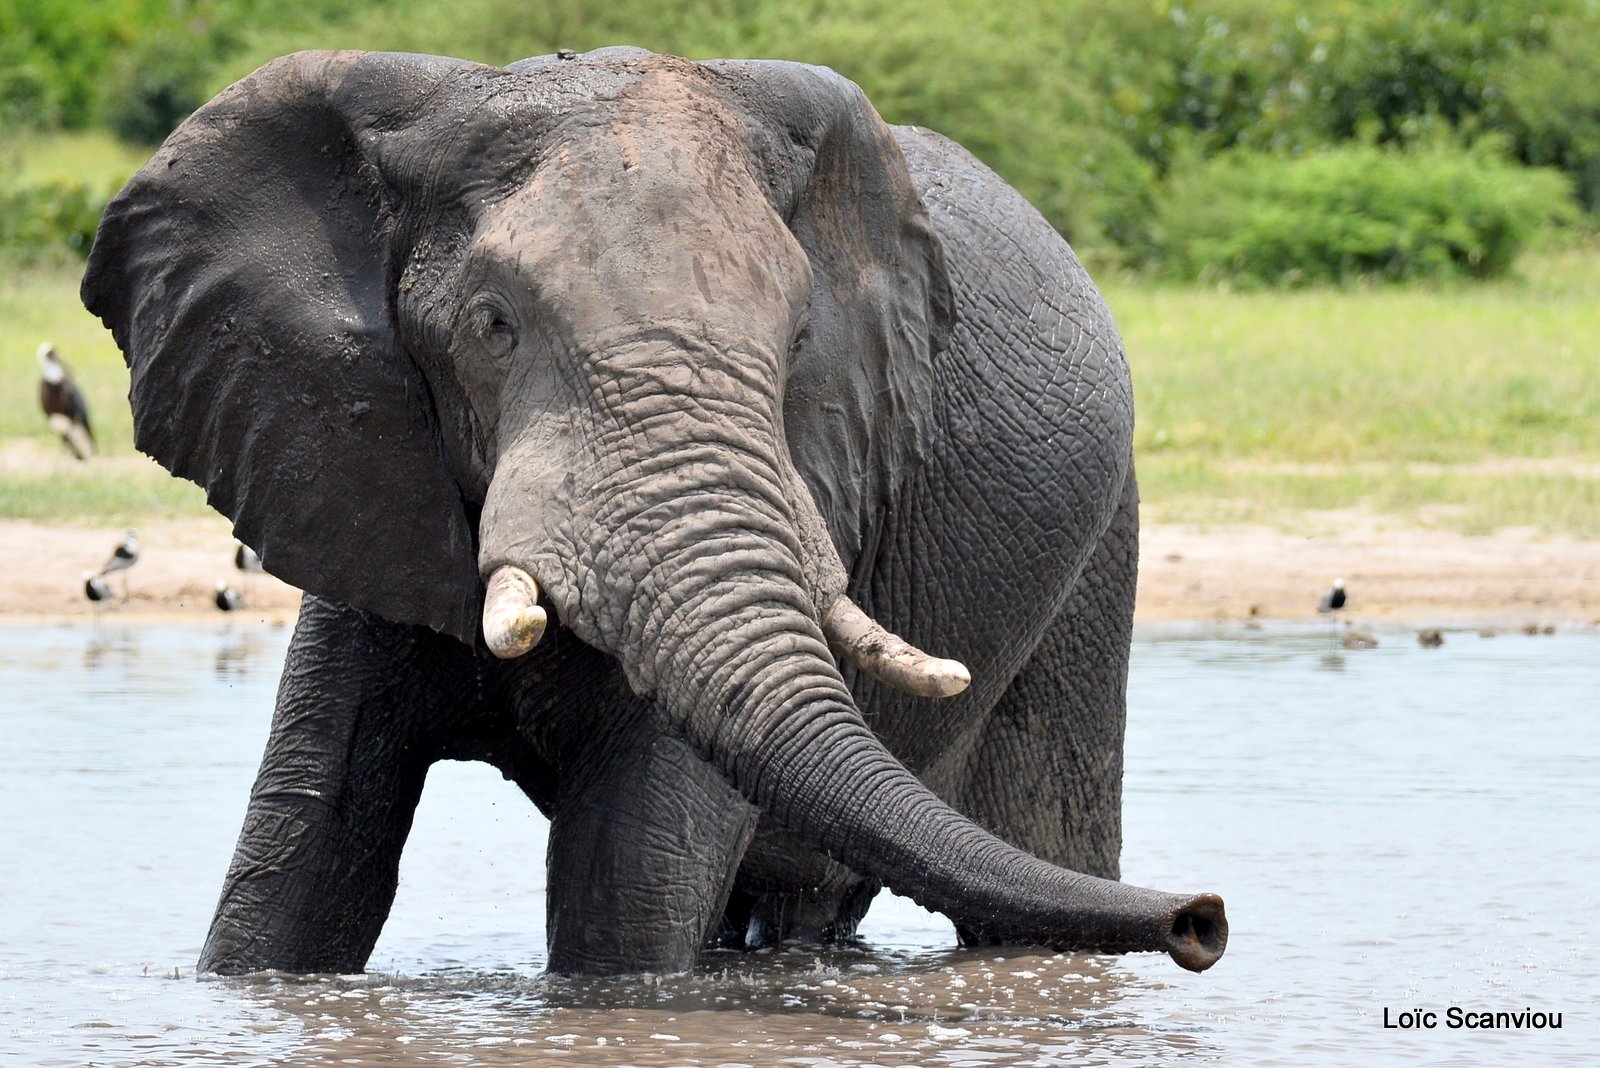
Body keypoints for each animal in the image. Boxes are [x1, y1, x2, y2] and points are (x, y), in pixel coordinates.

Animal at [81, 51, 1228, 984]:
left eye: (797, 338)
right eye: (492, 325)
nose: (1202, 920)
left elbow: (632, 883)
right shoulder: (360, 466)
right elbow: (302, 857)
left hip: (1099, 541)